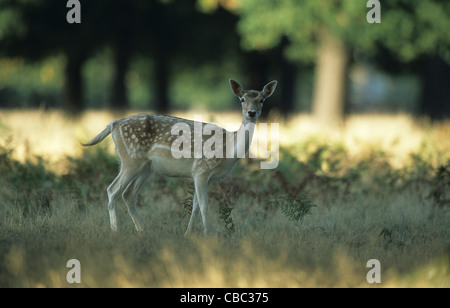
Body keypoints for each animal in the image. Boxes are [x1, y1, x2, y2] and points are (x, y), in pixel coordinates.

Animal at [82, 78, 276, 235]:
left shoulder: (204, 176)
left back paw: (142, 230)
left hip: (146, 168)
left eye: (262, 100)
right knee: (112, 189)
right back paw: (115, 231)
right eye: (242, 99)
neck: (228, 150)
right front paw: (207, 235)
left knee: (128, 194)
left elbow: (195, 206)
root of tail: (113, 124)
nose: (252, 113)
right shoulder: (201, 169)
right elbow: (204, 206)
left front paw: (187, 234)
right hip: (131, 158)